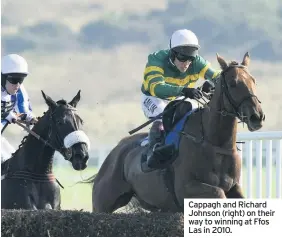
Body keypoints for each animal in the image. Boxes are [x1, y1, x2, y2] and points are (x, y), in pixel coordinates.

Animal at [87, 52, 264, 212]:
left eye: (253, 80)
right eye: (233, 83)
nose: (257, 116)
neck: (214, 142)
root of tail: (115, 151)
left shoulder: (234, 187)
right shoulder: (186, 189)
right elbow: (218, 193)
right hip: (102, 204)